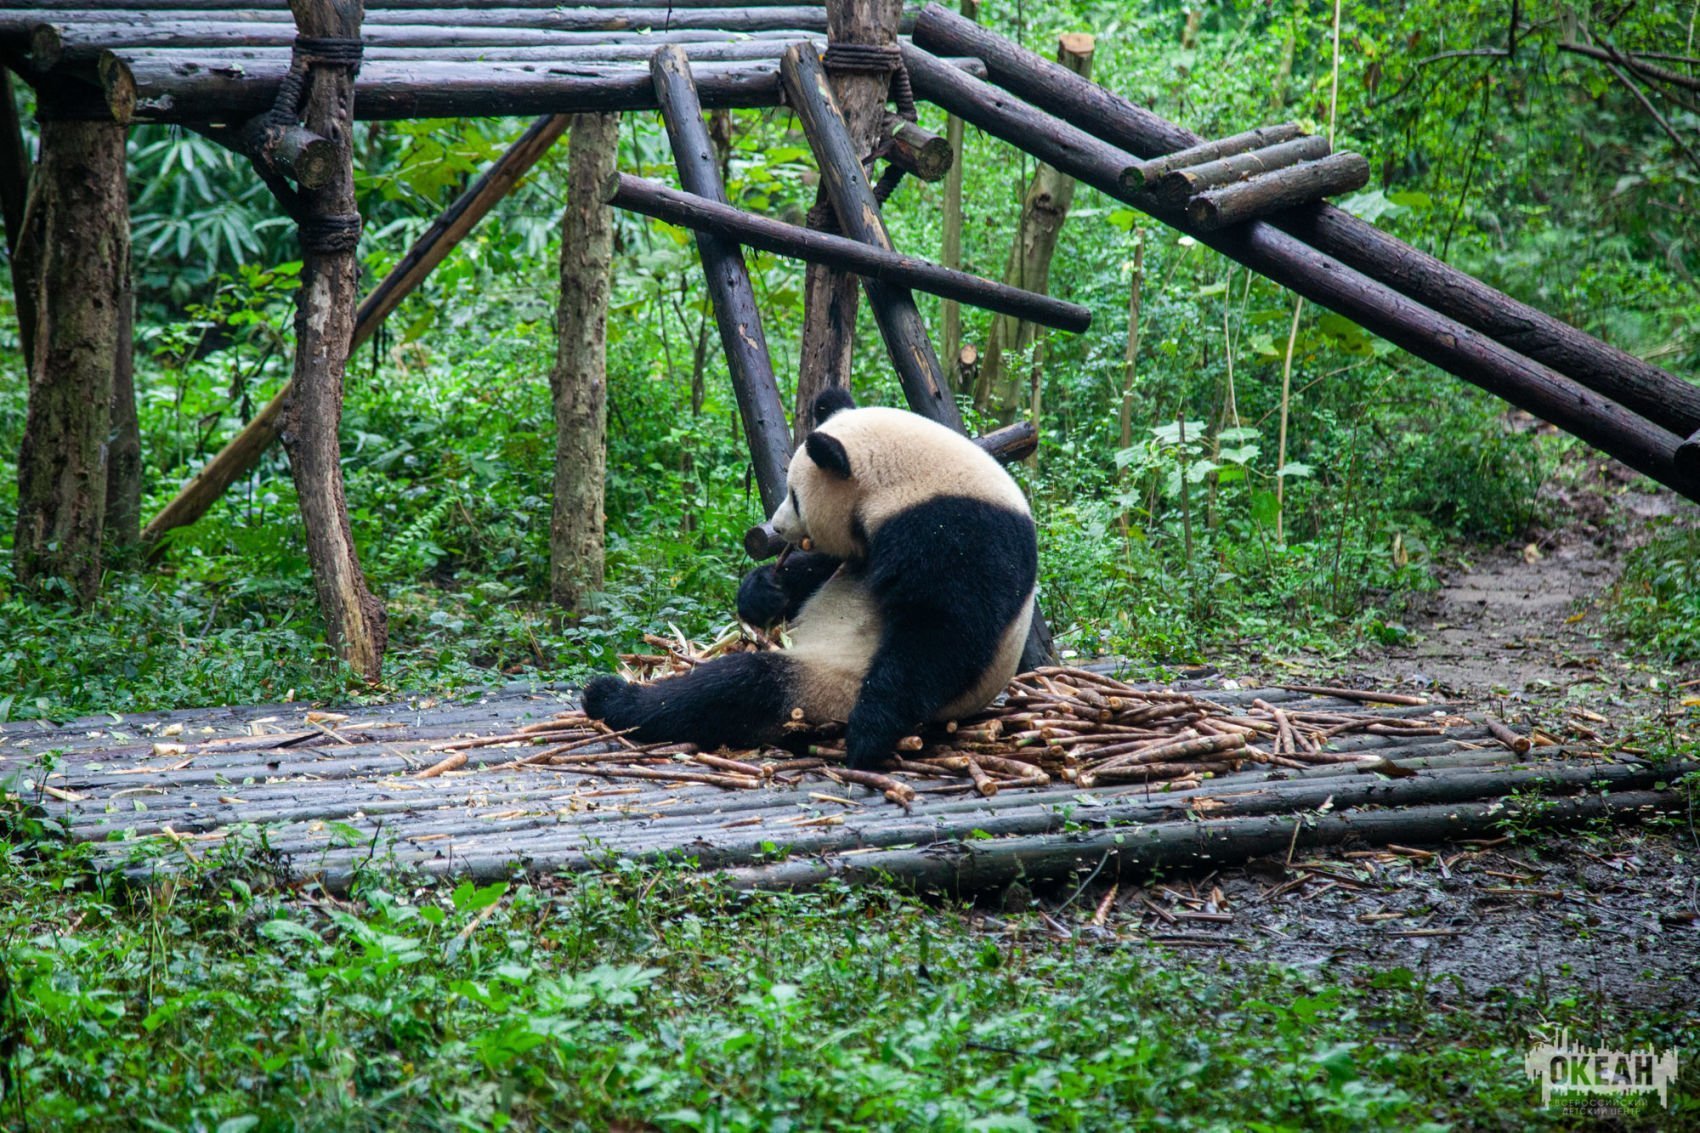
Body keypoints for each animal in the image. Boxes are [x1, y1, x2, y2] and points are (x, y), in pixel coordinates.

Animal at [582, 388, 1037, 771]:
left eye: (794, 495)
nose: (778, 527)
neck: (908, 480)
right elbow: (823, 568)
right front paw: (763, 591)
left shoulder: (957, 531)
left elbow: (943, 631)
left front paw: (870, 734)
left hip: (827, 687)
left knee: (738, 687)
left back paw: (613, 698)